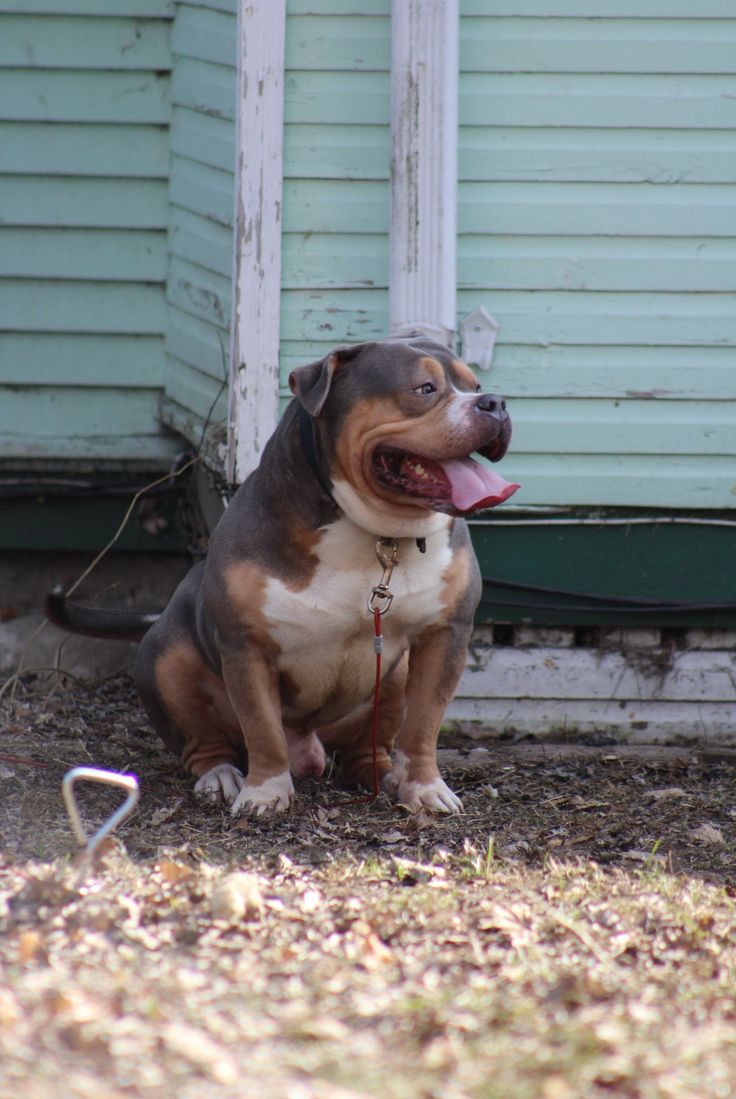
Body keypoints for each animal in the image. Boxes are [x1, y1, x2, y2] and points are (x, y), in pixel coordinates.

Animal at [46, 334, 518, 817]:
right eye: (424, 388)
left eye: (474, 384)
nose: (495, 402)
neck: (374, 534)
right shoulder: (246, 644)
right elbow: (262, 727)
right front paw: (265, 791)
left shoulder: (446, 635)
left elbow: (423, 724)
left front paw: (423, 787)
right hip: (165, 658)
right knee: (204, 744)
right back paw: (221, 776)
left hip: (395, 675)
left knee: (370, 747)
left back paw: (386, 774)